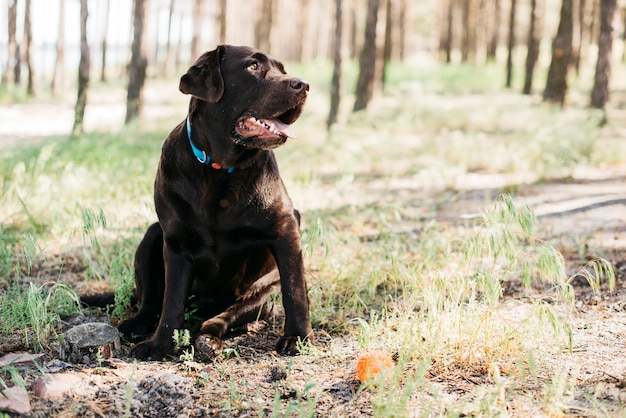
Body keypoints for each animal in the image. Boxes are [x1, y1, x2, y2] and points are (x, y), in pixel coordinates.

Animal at [116, 45, 310, 360]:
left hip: (261, 290)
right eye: (253, 66)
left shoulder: (286, 227)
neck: (220, 170)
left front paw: (297, 337)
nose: (303, 84)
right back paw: (137, 324)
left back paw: (210, 339)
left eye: (282, 69)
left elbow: (295, 291)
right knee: (151, 302)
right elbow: (171, 301)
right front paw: (161, 344)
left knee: (222, 317)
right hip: (152, 234)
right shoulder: (176, 243)